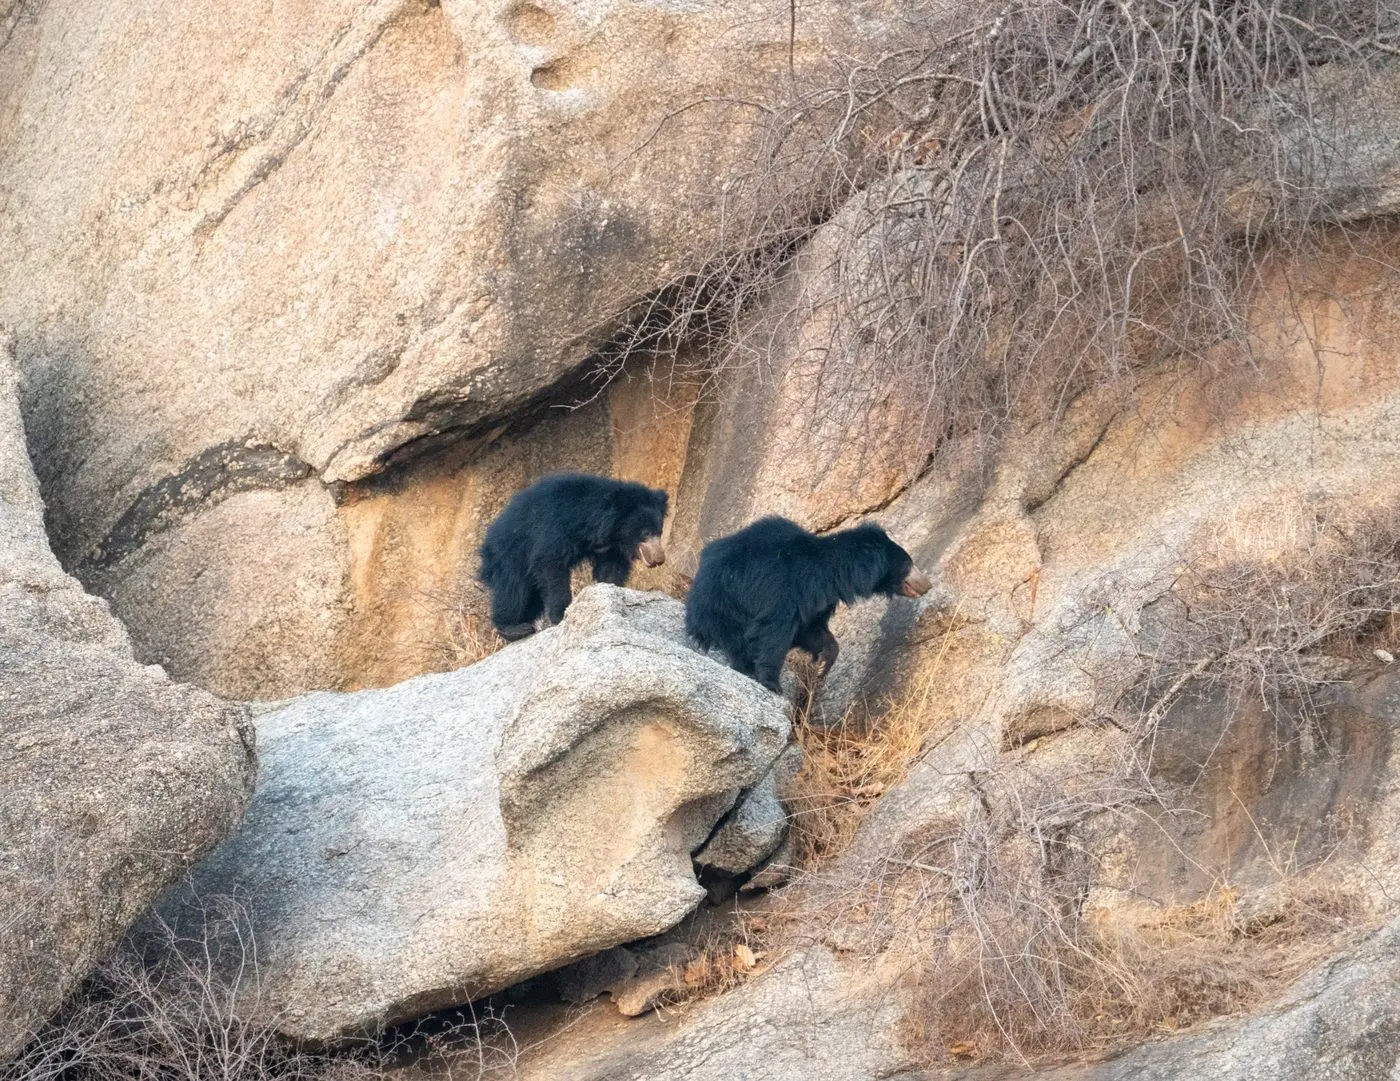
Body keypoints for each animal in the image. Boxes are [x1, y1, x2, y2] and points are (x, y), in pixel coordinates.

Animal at [478, 472, 669, 641]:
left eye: (659, 532)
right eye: (645, 532)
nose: (659, 559)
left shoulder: (611, 546)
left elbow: (611, 567)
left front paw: (609, 587)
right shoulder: (554, 527)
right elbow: (550, 564)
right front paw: (561, 614)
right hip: (509, 553)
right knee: (513, 588)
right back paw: (513, 628)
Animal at [684, 516, 931, 692]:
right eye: (908, 563)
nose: (927, 584)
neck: (831, 575)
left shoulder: (818, 601)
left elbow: (811, 630)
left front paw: (823, 664)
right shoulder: (784, 587)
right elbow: (773, 631)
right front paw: (772, 683)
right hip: (721, 604)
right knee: (735, 637)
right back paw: (743, 664)